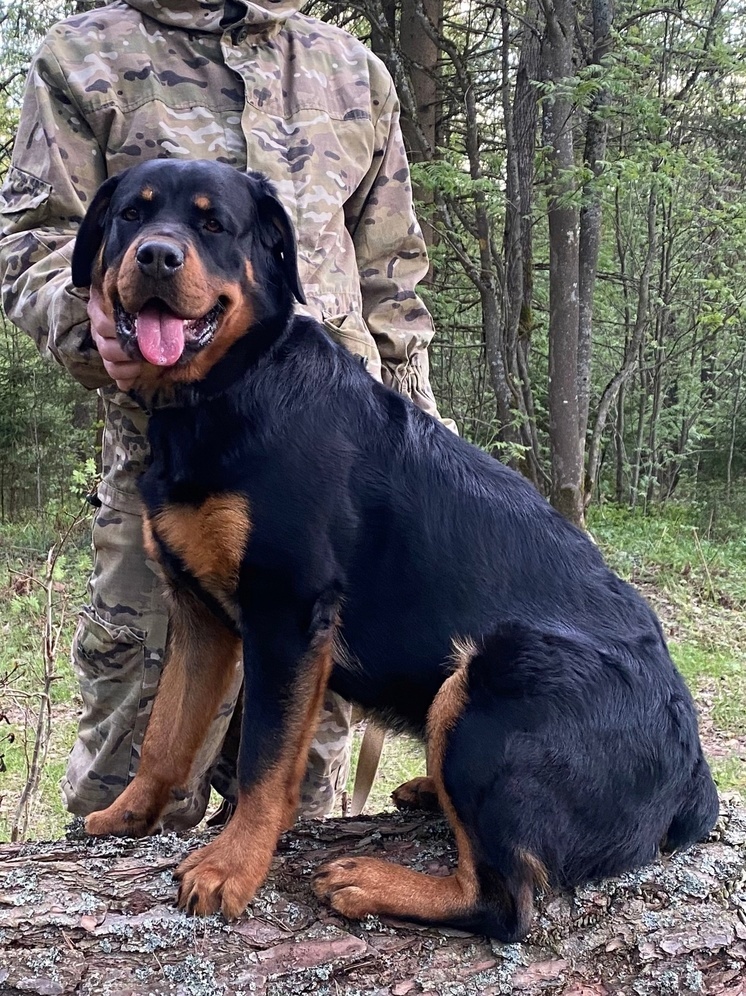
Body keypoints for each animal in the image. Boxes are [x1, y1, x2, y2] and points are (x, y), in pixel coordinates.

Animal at [72, 158, 716, 940]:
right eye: (130, 216)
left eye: (213, 224)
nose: (157, 257)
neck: (228, 390)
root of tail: (692, 777)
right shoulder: (201, 617)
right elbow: (166, 733)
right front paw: (129, 814)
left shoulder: (287, 617)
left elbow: (263, 762)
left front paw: (232, 866)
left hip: (486, 681)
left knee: (503, 902)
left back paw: (370, 881)